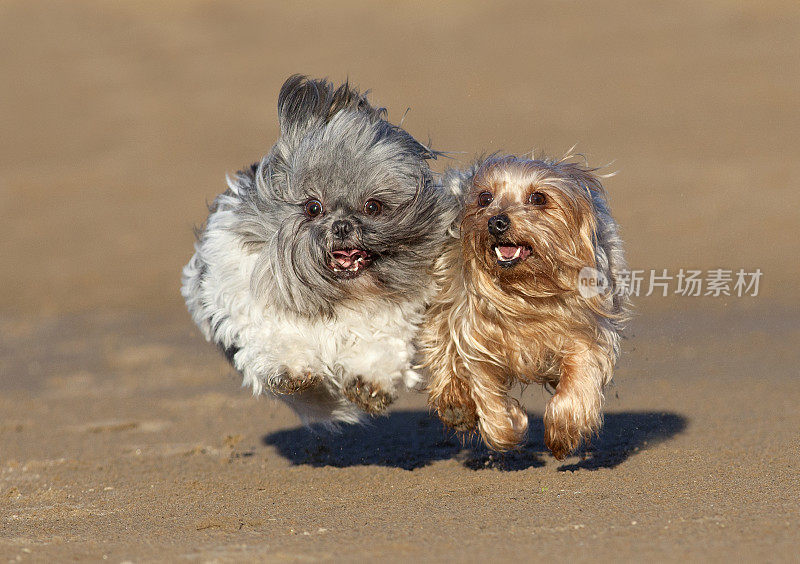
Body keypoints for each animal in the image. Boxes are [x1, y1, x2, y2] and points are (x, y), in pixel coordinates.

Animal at [184, 77, 454, 426]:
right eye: (313, 207)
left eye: (373, 206)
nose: (341, 226)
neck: (337, 296)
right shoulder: (254, 306)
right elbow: (279, 337)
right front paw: (292, 370)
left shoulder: (391, 319)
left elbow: (379, 344)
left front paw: (370, 384)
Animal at [422, 154, 628, 458]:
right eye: (485, 197)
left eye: (538, 197)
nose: (496, 221)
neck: (527, 292)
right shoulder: (474, 332)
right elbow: (484, 386)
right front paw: (508, 428)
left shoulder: (585, 330)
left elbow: (580, 375)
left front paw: (564, 430)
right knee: (440, 346)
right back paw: (455, 405)